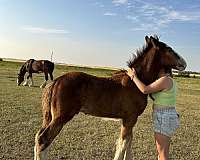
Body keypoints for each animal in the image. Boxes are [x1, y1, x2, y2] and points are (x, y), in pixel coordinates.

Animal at [33, 35, 186, 159]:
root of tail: (56, 81)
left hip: (49, 117)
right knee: (43, 139)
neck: (136, 83)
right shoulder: (130, 118)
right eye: (169, 49)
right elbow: (123, 144)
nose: (184, 63)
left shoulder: (129, 119)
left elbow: (128, 143)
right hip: (61, 117)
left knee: (40, 138)